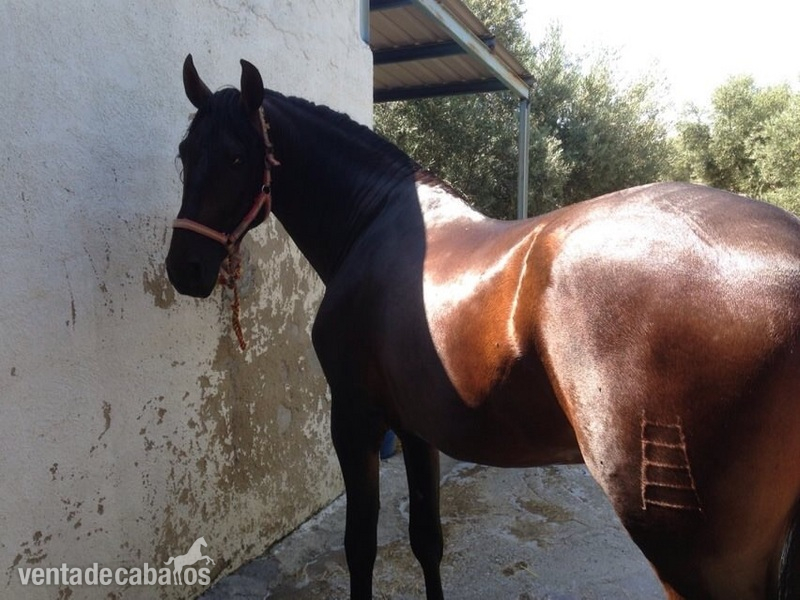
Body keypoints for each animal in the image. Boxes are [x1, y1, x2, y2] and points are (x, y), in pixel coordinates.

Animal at [165, 55, 800, 599]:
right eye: (184, 151)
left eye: (238, 158)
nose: (184, 268)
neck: (374, 223)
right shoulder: (415, 427)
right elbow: (426, 540)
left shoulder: (354, 419)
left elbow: (361, 547)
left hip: (695, 557)